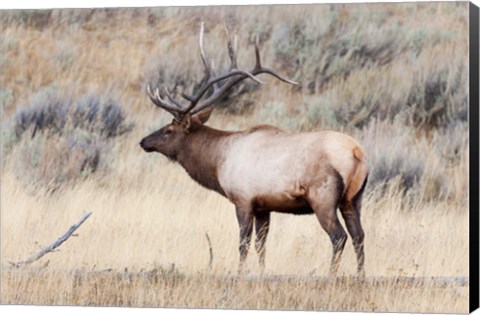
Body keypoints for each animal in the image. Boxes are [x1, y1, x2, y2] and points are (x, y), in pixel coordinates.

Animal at [139, 24, 368, 276]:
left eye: (169, 130)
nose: (143, 141)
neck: (217, 162)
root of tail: (357, 153)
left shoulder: (243, 200)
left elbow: (243, 243)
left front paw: (240, 272)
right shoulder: (263, 206)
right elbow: (261, 244)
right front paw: (261, 271)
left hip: (323, 197)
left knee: (339, 236)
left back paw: (332, 274)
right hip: (353, 199)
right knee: (359, 235)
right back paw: (360, 275)